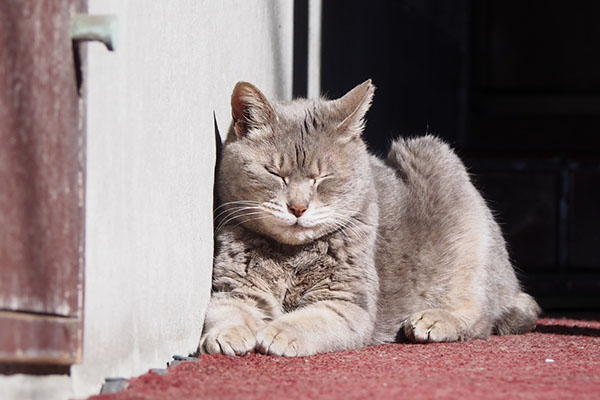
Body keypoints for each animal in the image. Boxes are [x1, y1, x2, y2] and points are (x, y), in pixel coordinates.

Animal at [199, 78, 540, 356]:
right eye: (275, 173)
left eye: (322, 177)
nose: (297, 207)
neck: (290, 256)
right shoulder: (237, 289)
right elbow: (226, 311)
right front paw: (228, 335)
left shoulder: (346, 303)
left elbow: (308, 320)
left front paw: (277, 333)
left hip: (440, 168)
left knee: (481, 315)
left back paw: (433, 321)